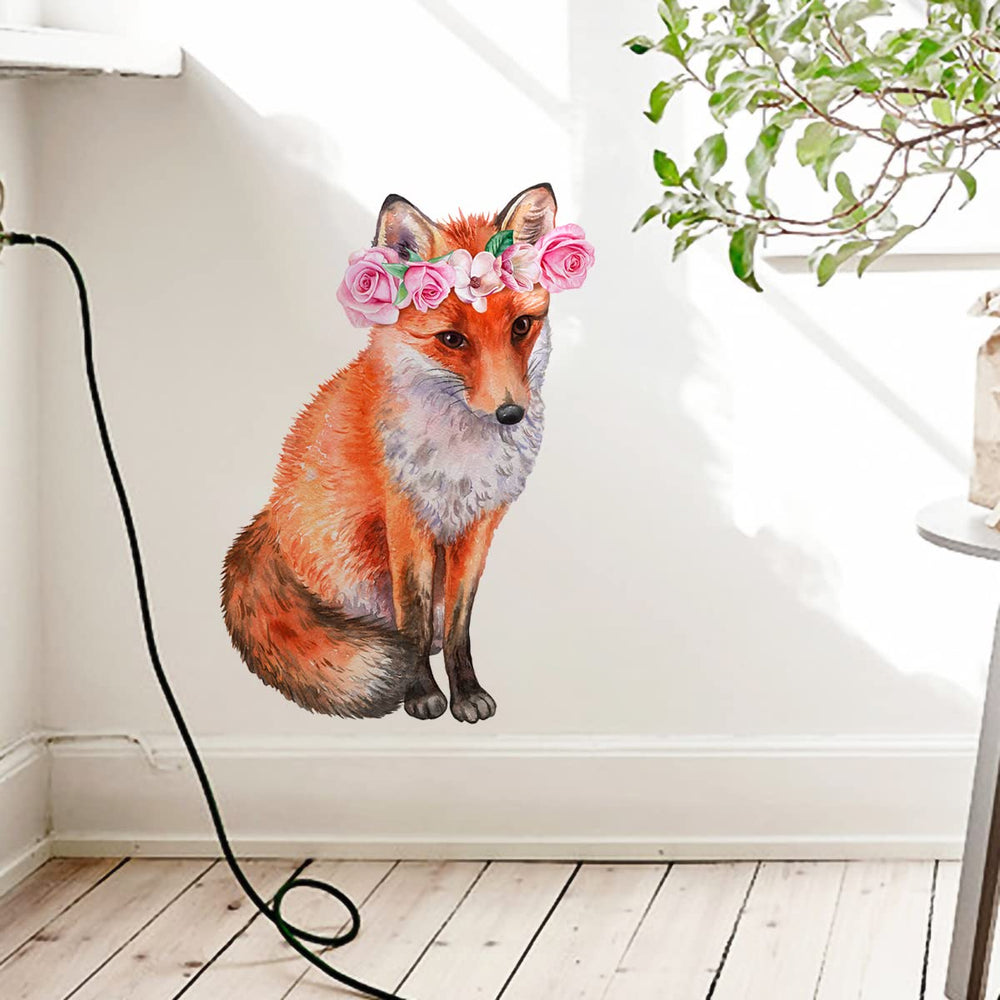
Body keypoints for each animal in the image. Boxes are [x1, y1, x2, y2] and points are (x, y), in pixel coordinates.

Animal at [222, 183, 565, 723]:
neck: (460, 462)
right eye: (452, 339)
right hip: (356, 558)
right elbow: (413, 618)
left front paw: (465, 691)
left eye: (521, 327)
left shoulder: (479, 525)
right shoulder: (405, 518)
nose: (510, 413)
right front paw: (420, 691)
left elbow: (458, 627)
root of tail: (268, 522)